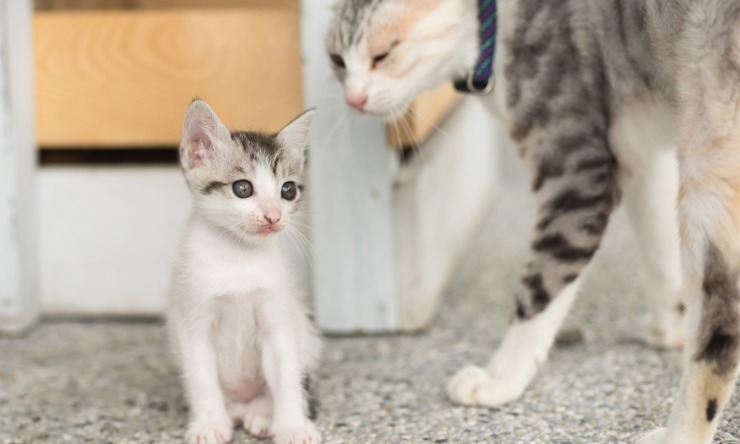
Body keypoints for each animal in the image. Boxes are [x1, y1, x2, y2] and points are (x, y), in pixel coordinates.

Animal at [169, 100, 322, 444]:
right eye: (242, 188)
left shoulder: (277, 318)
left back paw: (263, 414)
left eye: (288, 191)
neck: (237, 258)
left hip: (304, 335)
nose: (274, 216)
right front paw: (209, 423)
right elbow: (202, 379)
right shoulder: (193, 320)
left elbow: (286, 375)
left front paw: (292, 425)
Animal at [328, 0, 740, 444]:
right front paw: (671, 327)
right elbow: (658, 245)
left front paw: (501, 378)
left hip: (709, 147)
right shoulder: (635, 150)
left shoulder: (577, 173)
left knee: (721, 328)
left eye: (383, 53)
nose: (353, 99)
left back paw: (678, 433)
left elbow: (540, 292)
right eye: (337, 61)